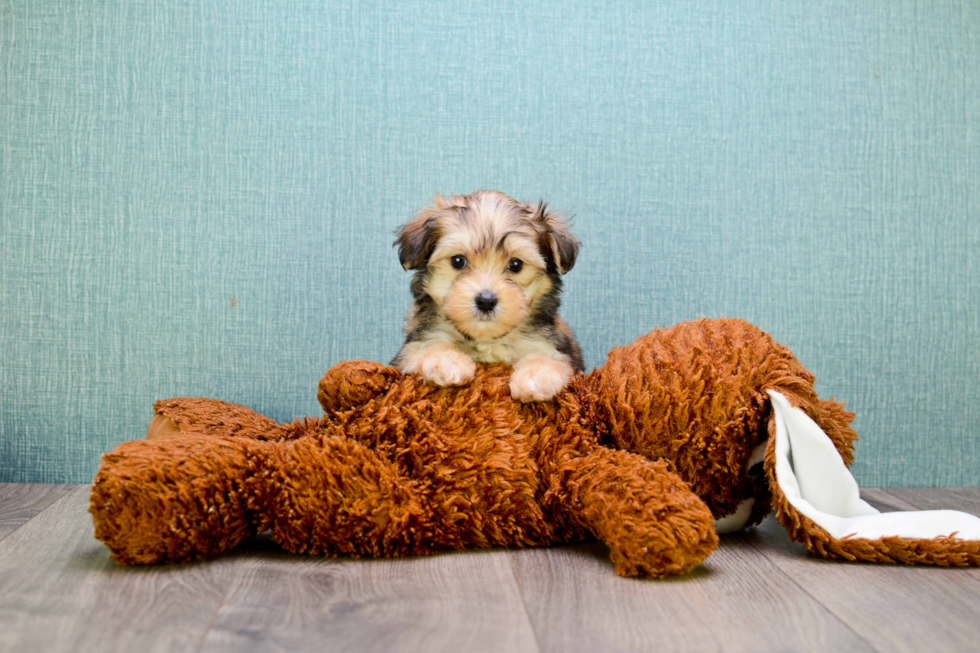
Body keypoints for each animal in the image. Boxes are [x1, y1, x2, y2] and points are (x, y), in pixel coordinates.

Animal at [388, 190, 580, 402]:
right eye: (458, 261)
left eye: (516, 265)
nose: (486, 301)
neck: (487, 340)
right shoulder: (413, 347)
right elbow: (427, 346)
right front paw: (444, 361)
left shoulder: (549, 345)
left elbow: (547, 356)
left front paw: (537, 376)